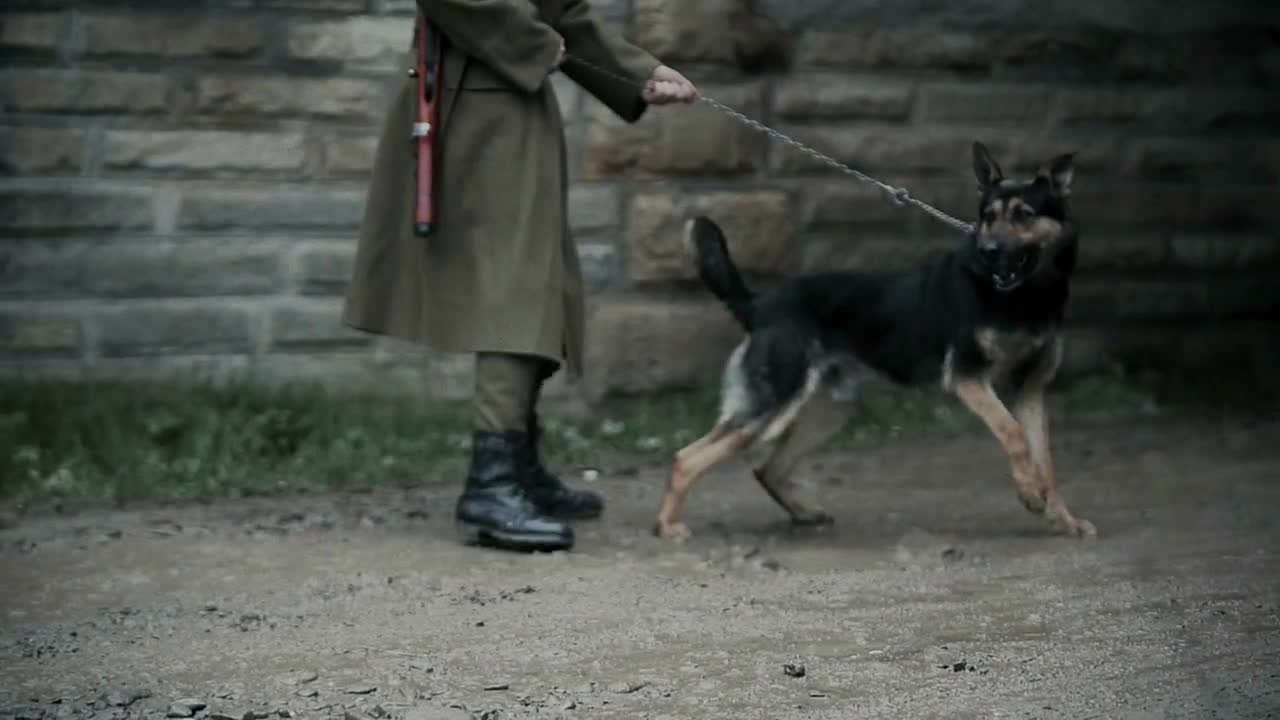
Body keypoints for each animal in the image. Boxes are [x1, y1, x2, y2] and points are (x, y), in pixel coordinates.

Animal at [655, 141, 1095, 538]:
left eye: (1024, 214)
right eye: (988, 216)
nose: (988, 251)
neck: (1025, 297)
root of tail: (760, 304)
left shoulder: (1030, 392)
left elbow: (1045, 459)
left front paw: (1061, 517)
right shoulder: (969, 379)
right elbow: (1014, 435)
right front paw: (1029, 493)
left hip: (832, 409)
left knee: (767, 468)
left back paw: (804, 514)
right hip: (771, 406)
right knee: (686, 458)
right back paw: (668, 526)